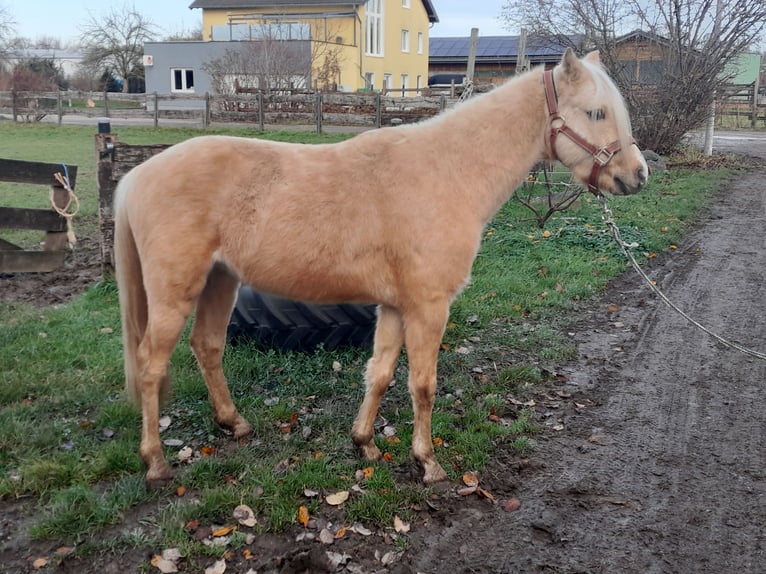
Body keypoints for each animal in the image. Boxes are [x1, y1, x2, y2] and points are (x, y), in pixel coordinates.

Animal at [114, 48, 648, 487]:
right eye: (596, 112)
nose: (637, 176)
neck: (448, 172)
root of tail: (136, 176)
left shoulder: (394, 306)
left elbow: (381, 373)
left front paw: (365, 443)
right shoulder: (429, 307)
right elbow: (423, 385)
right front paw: (428, 461)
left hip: (219, 282)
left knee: (206, 347)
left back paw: (235, 424)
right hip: (174, 293)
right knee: (151, 365)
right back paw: (156, 462)